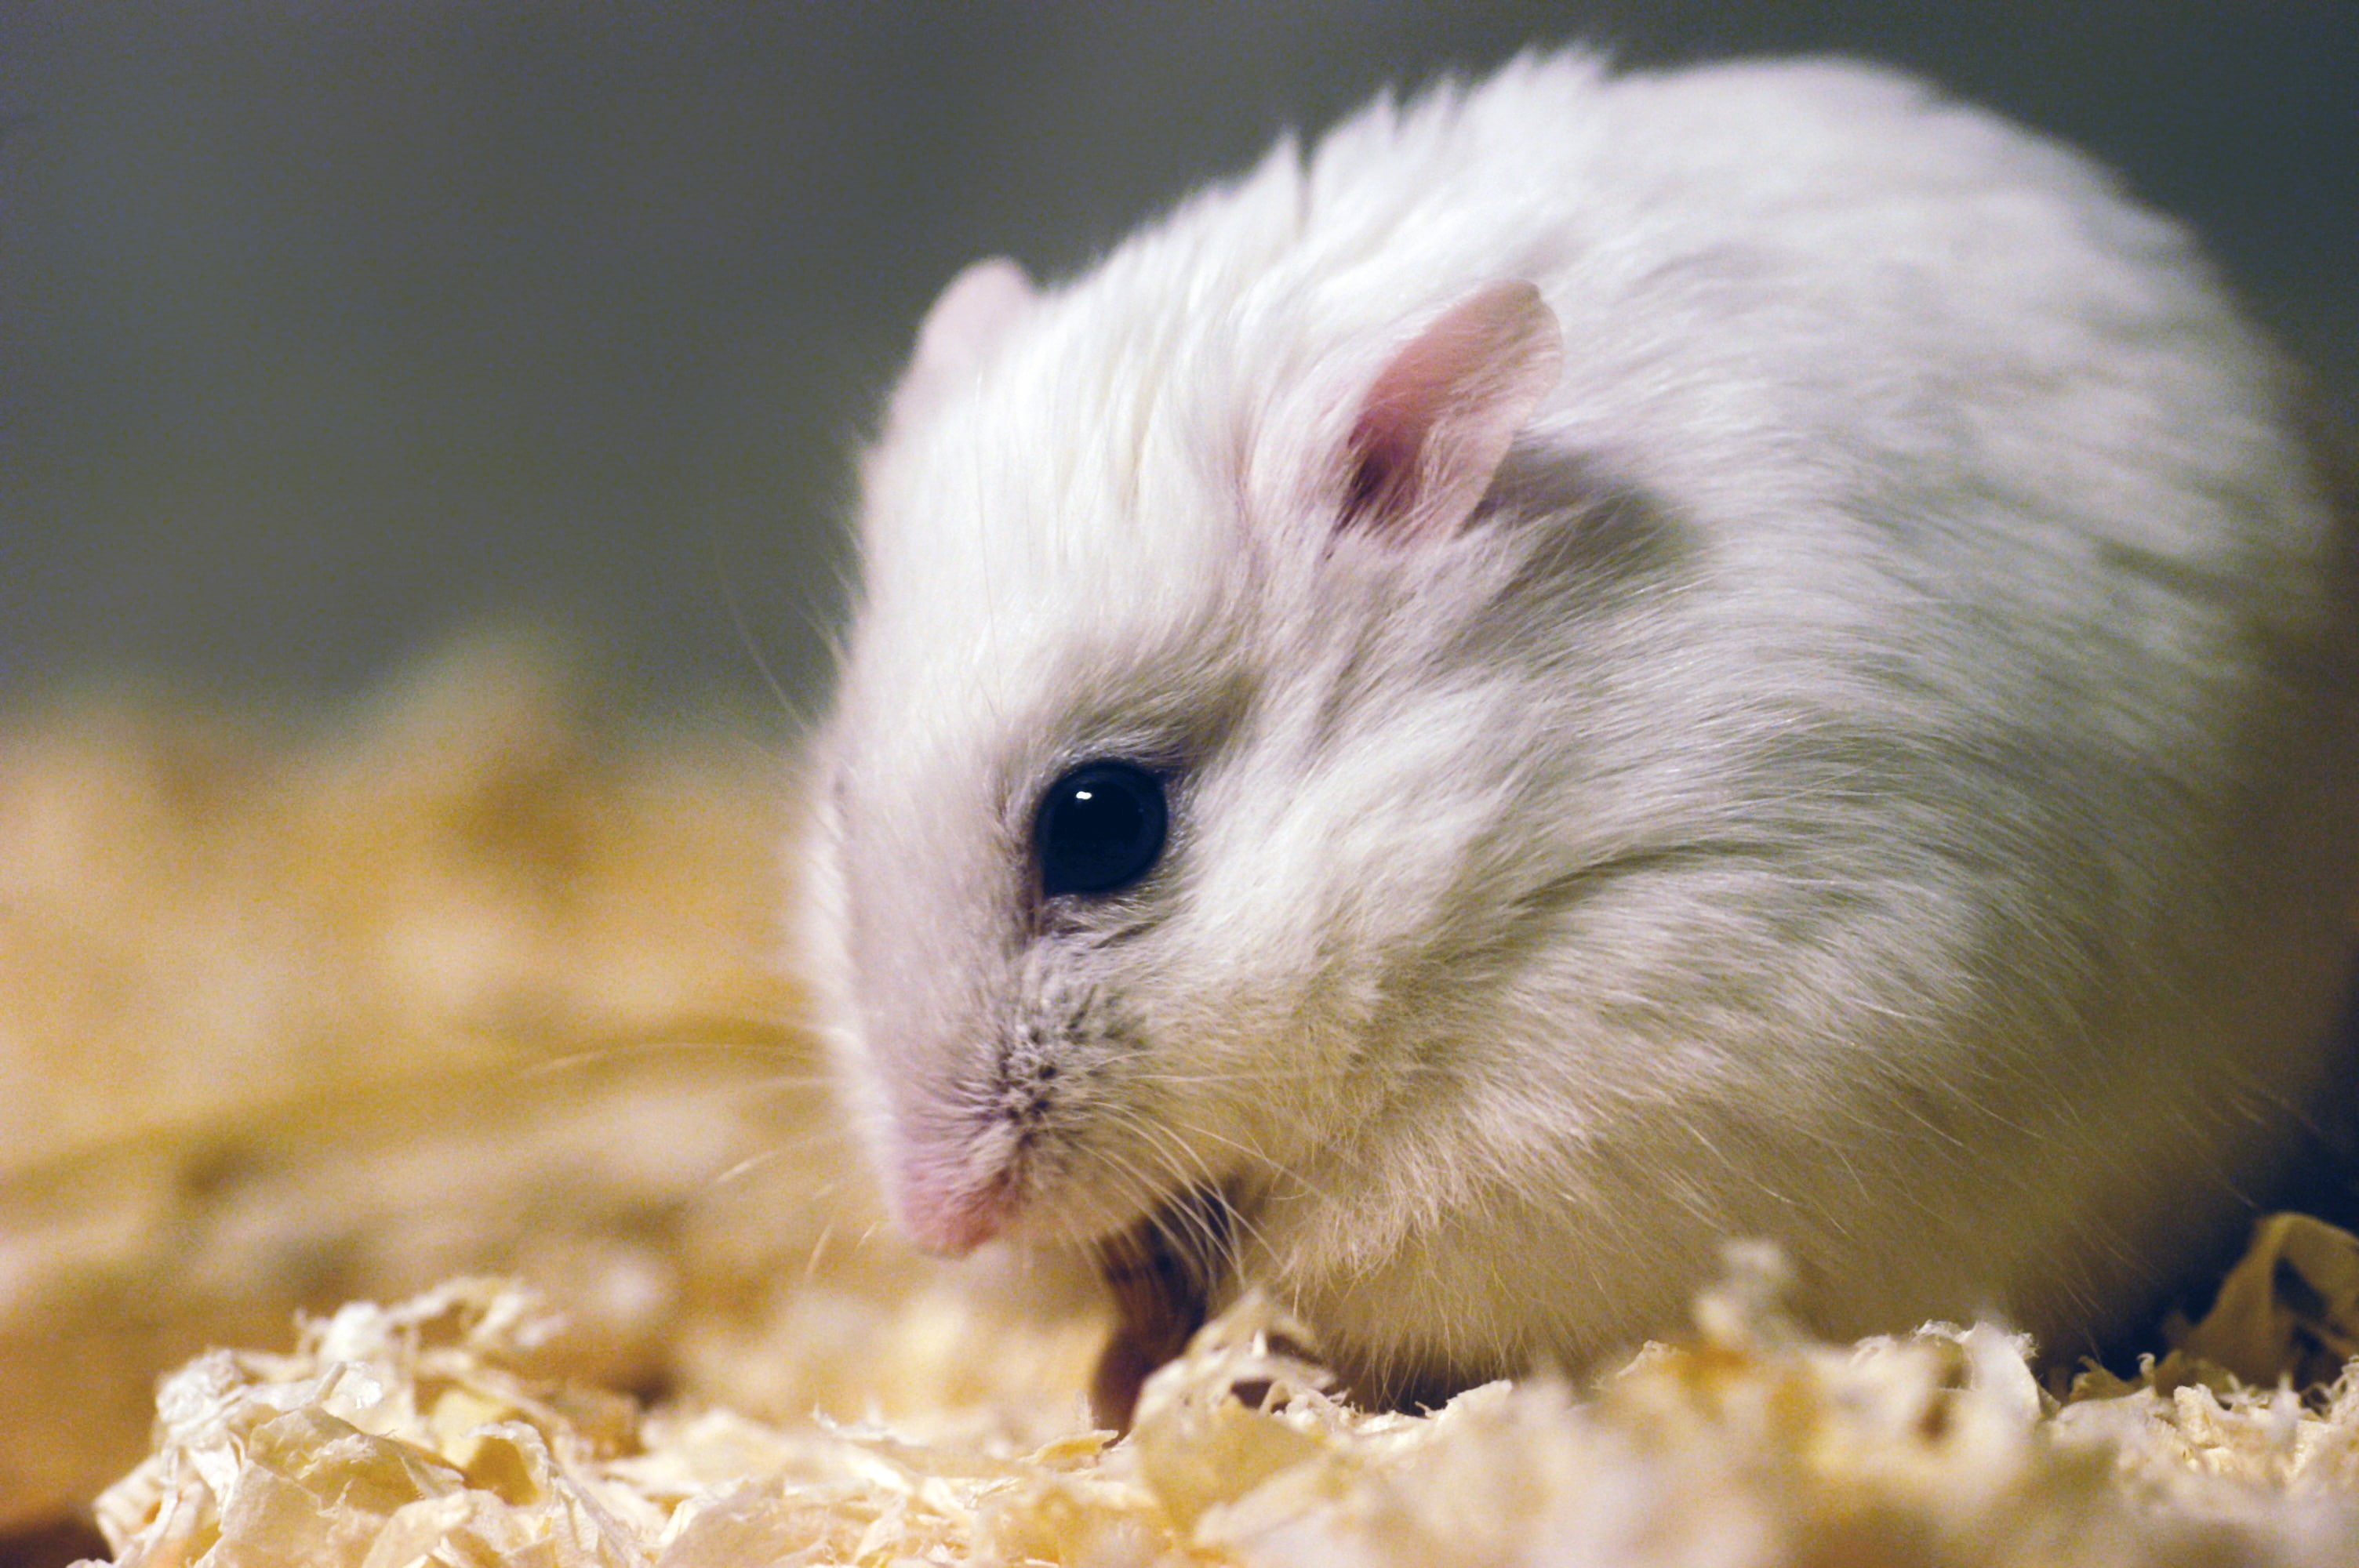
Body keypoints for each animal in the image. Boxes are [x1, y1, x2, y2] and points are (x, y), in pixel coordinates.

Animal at [799, 50, 2359, 1418]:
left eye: (1103, 822)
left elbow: (1345, 1252)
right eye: (838, 798)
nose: (934, 1225)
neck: (1492, 801)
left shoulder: (1650, 1063)